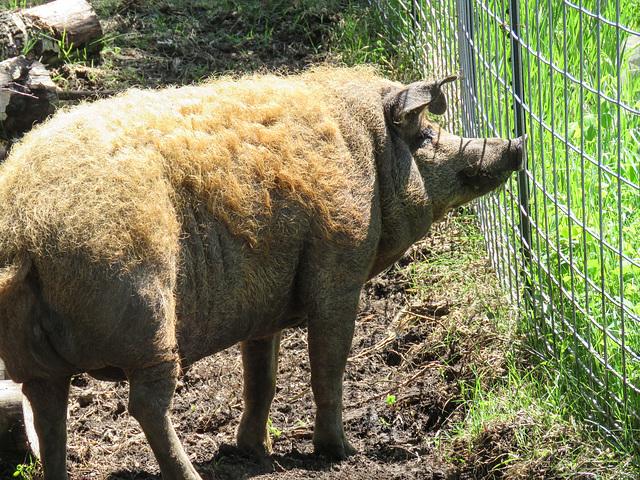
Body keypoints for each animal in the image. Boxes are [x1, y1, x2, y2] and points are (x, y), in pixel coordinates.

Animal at [0, 65, 524, 478]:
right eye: (427, 135)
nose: (517, 143)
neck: (370, 154)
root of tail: (24, 231)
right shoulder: (340, 267)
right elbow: (327, 366)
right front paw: (341, 453)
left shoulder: (263, 306)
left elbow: (262, 377)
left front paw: (256, 453)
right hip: (143, 316)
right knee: (145, 403)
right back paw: (193, 476)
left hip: (32, 359)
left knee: (46, 415)